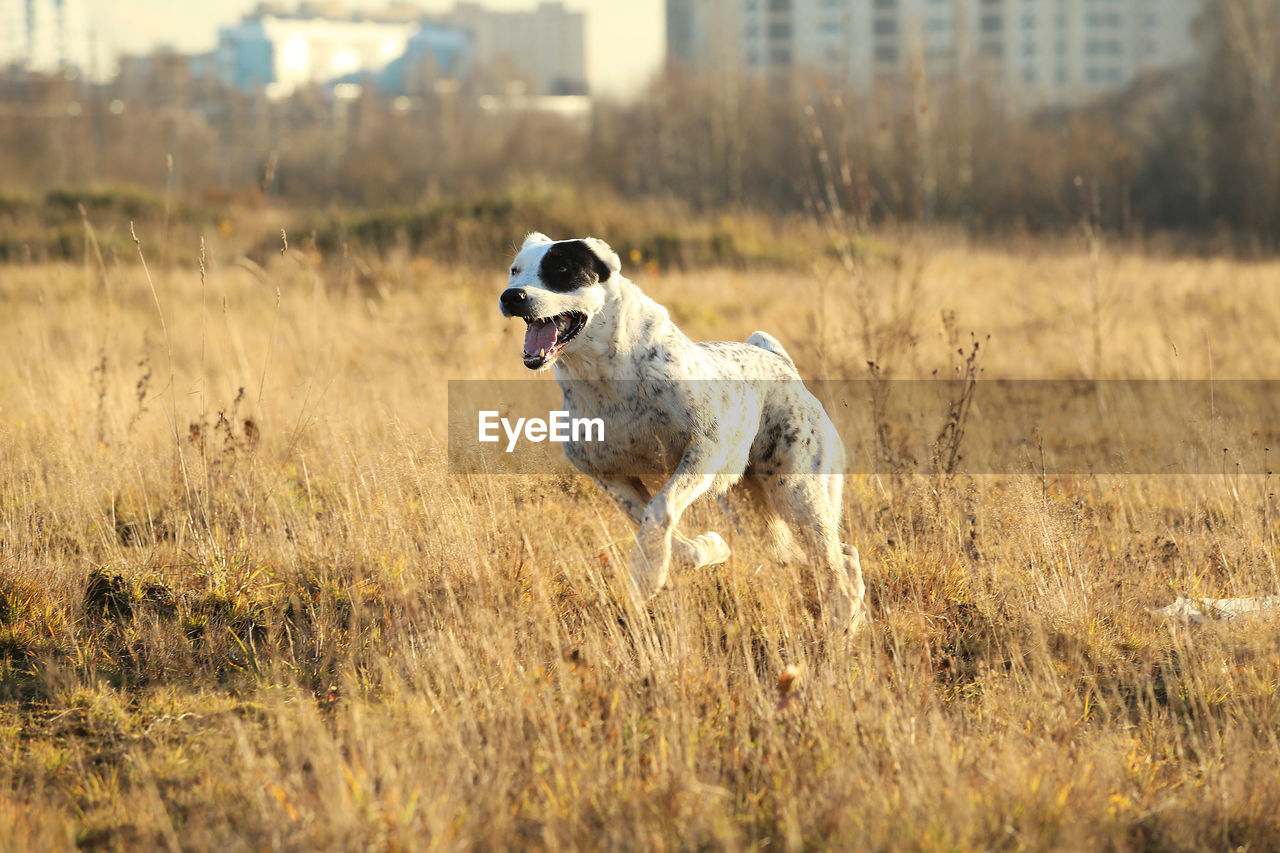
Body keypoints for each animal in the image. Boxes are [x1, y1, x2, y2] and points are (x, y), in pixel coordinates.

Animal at [499, 229, 870, 627]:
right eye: (514, 271)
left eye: (562, 269)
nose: (512, 295)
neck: (605, 380)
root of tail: (779, 360)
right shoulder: (610, 478)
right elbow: (655, 526)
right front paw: (706, 549)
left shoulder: (702, 451)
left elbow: (660, 507)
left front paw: (646, 574)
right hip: (758, 522)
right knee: (826, 556)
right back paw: (845, 615)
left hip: (797, 491)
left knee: (834, 557)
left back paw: (844, 617)